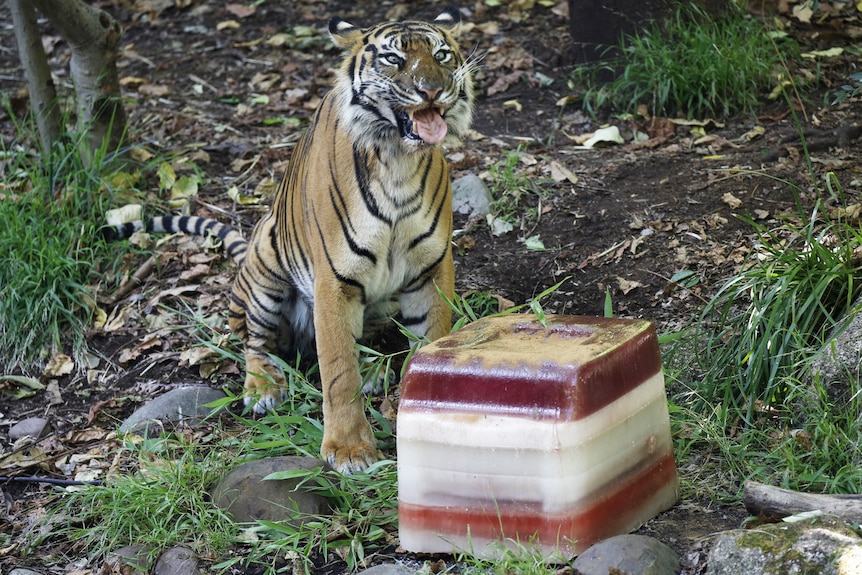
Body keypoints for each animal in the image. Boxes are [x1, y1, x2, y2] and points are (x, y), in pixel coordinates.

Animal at [107, 9, 476, 474]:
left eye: (442, 55)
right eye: (393, 59)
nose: (432, 89)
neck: (397, 161)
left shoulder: (431, 268)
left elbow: (431, 341)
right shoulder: (335, 280)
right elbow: (338, 370)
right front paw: (350, 450)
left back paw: (375, 371)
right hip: (266, 274)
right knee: (254, 344)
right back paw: (264, 389)